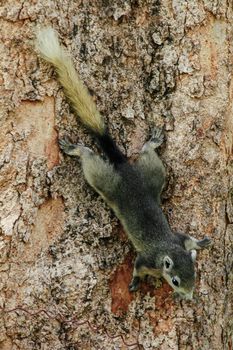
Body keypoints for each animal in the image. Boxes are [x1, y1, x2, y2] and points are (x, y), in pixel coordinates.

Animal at [35, 28, 212, 300]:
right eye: (175, 280)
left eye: (195, 275)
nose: (189, 297)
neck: (166, 250)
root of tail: (125, 168)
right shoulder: (146, 259)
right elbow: (138, 269)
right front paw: (136, 282)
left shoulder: (179, 239)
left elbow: (189, 239)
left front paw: (200, 243)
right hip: (104, 181)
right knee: (90, 159)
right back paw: (76, 149)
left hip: (153, 174)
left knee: (147, 155)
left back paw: (152, 142)